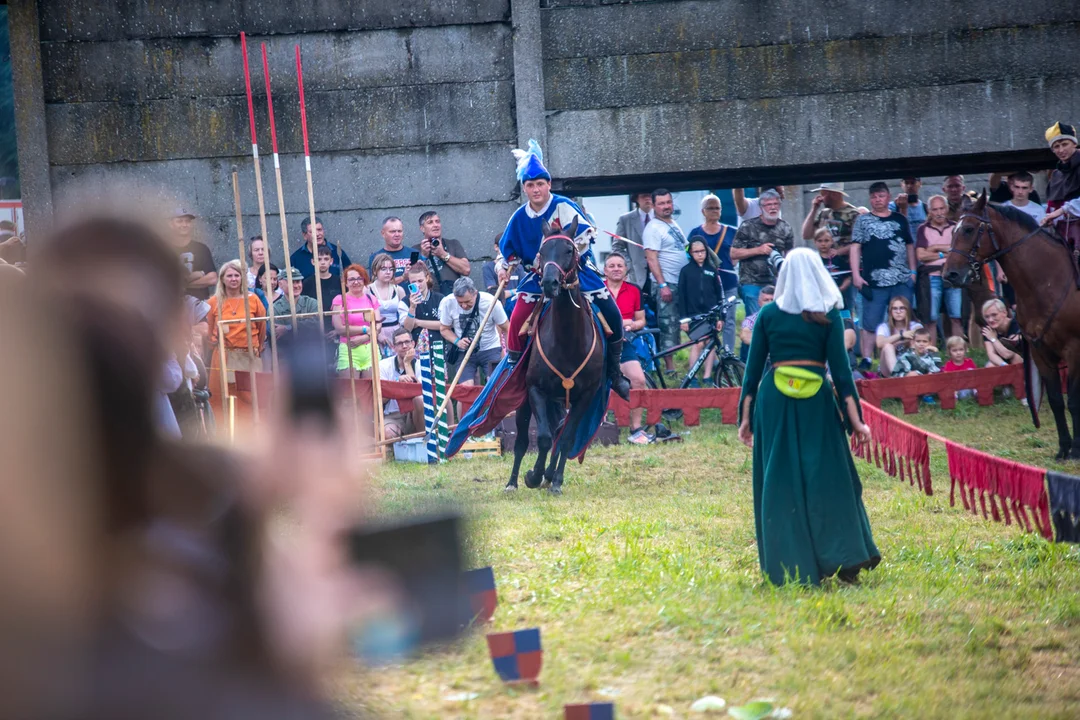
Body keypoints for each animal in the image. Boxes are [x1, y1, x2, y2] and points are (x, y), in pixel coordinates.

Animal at [505, 218, 609, 496]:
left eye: (569, 250)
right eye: (543, 252)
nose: (549, 284)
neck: (567, 342)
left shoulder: (585, 396)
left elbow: (567, 438)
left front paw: (555, 479)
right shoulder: (536, 390)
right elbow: (541, 438)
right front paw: (533, 475)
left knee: (560, 430)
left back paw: (550, 475)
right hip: (528, 400)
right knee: (523, 439)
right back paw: (513, 482)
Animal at [941, 191, 1080, 462]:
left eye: (969, 229)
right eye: (953, 230)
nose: (950, 274)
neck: (1050, 283)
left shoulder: (1074, 350)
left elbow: (1073, 401)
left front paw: (1076, 450)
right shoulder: (1040, 352)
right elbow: (1057, 401)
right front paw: (1063, 448)